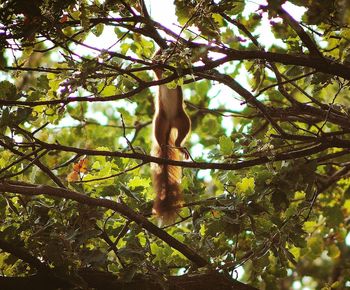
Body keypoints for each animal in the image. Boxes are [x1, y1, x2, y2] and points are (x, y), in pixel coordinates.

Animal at [151, 65, 191, 223]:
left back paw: (179, 147)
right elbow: (157, 70)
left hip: (183, 121)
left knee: (179, 139)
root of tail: (170, 123)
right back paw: (162, 147)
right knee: (159, 138)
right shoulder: (159, 75)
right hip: (159, 121)